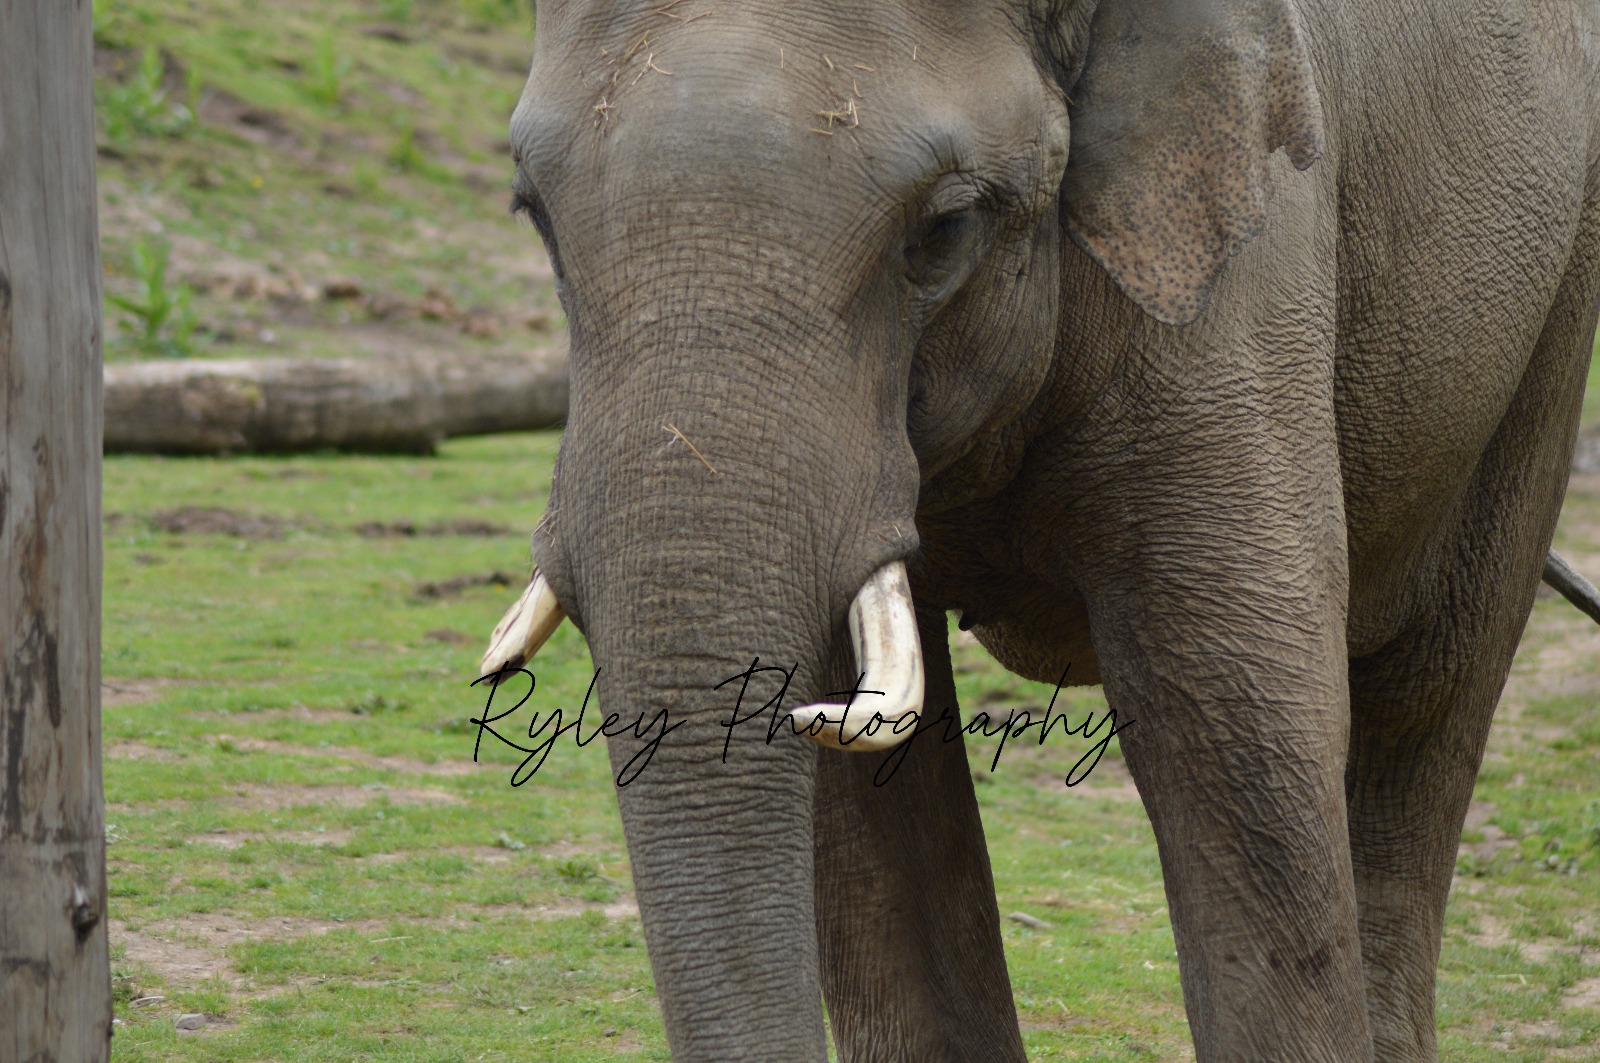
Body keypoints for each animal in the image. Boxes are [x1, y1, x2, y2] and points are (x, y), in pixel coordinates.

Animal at [481, 0, 1600, 1059]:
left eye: (942, 229)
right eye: (530, 212)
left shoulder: (1242, 263)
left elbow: (1235, 723)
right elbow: (862, 786)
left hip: (1558, 285)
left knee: (1429, 695)